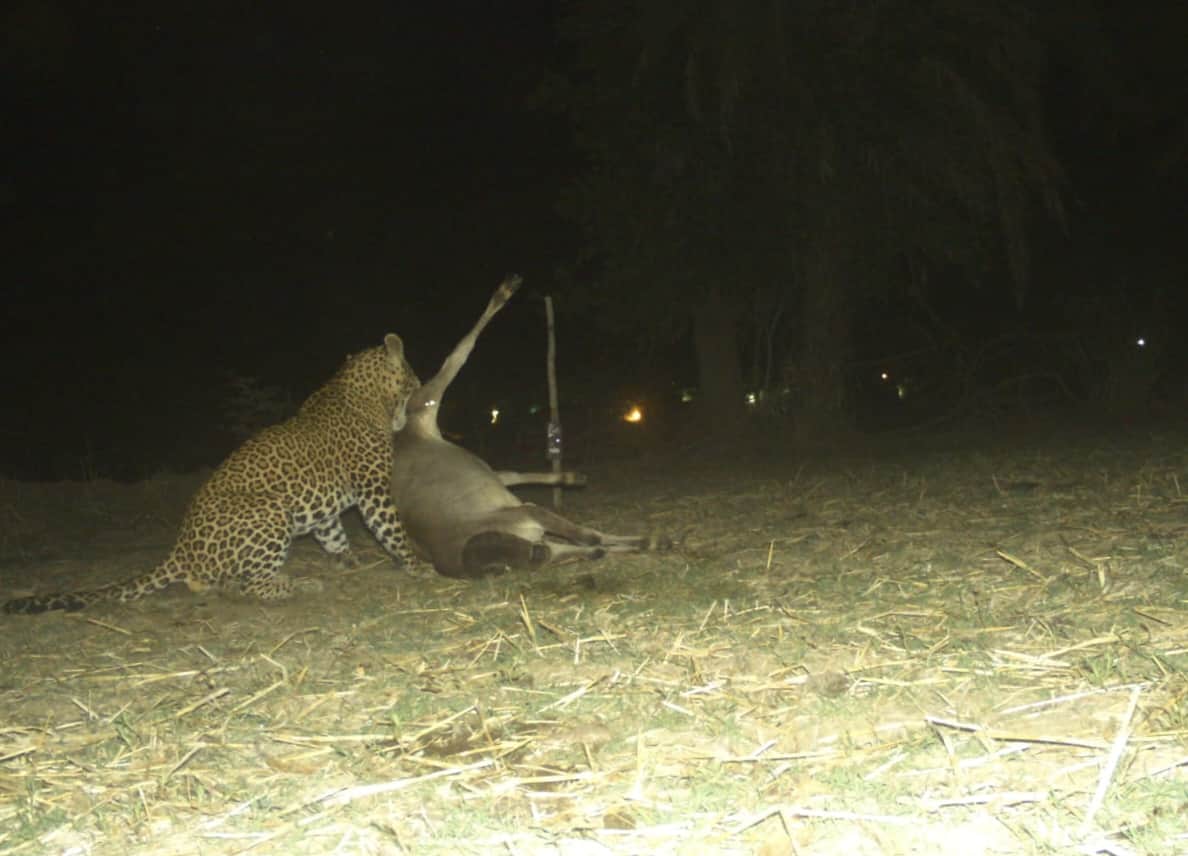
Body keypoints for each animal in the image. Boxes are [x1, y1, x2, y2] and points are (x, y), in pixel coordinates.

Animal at [3, 334, 421, 614]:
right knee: (250, 587)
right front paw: (417, 564)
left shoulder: (328, 507)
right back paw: (298, 583)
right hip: (270, 512)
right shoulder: (373, 487)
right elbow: (391, 528)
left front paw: (347, 560)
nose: (419, 390)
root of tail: (181, 548)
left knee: (218, 583)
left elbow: (331, 532)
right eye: (413, 379)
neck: (364, 393)